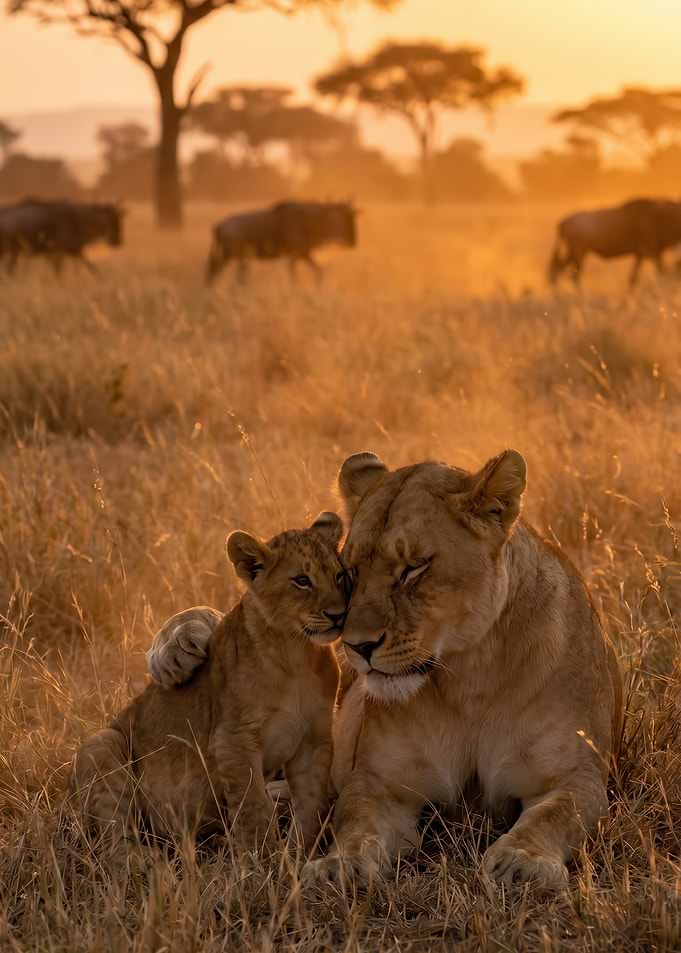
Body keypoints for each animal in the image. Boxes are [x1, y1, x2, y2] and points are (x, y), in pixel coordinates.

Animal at [71, 512, 346, 864]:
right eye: (302, 580)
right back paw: (144, 862)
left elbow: (311, 805)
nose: (339, 615)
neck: (297, 654)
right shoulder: (232, 741)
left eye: (339, 576)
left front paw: (299, 856)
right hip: (103, 743)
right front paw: (264, 864)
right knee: (112, 838)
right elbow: (254, 808)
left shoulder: (315, 738)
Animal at [147, 450, 623, 892]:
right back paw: (177, 651)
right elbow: (356, 822)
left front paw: (522, 863)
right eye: (351, 572)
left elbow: (554, 814)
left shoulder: (577, 774)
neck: (468, 676)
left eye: (414, 567)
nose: (357, 645)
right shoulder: (382, 784)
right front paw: (337, 867)